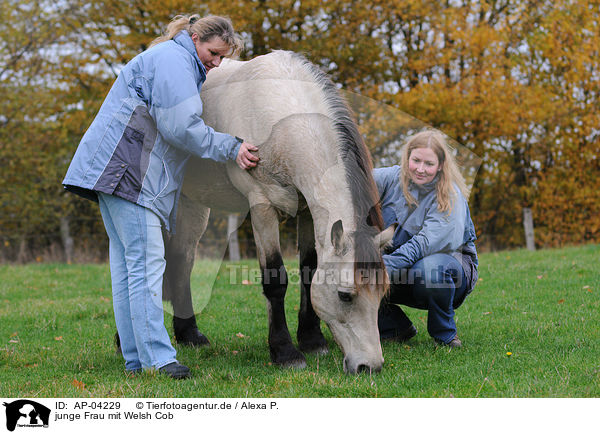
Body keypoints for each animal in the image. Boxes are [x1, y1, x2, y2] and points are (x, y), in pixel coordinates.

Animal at [161, 50, 394, 374]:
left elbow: (309, 271)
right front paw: (285, 352)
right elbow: (275, 278)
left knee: (182, 260)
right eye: (345, 295)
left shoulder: (308, 213)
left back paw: (189, 335)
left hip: (192, 205)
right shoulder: (262, 208)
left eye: (382, 293)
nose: (369, 366)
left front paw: (312, 340)